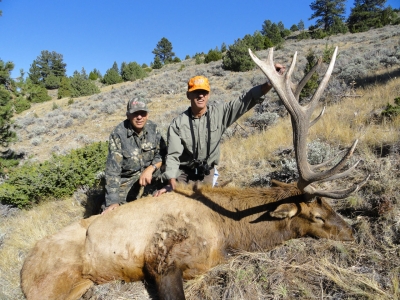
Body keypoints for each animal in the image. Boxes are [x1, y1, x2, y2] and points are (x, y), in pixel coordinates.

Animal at [20, 47, 368, 300]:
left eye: (331, 206)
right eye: (317, 216)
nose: (352, 233)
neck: (227, 232)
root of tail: (24, 266)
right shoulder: (161, 260)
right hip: (50, 285)